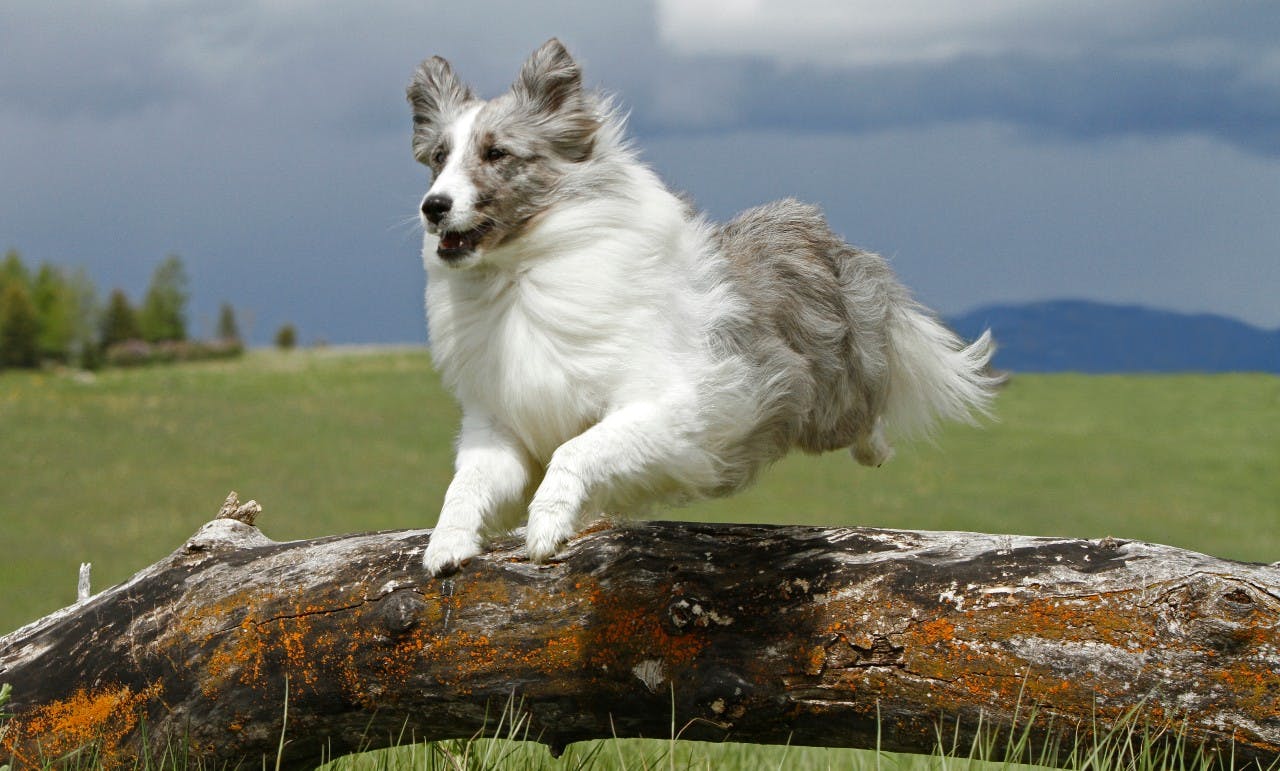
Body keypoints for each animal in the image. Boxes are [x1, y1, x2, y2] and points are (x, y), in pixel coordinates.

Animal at [404, 39, 993, 573]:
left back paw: (876, 448)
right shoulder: (499, 428)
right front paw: (445, 548)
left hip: (834, 396)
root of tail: (815, 228)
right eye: (438, 157)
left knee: (869, 407)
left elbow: (576, 451)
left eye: (496, 153)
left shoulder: (666, 406)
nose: (433, 207)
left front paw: (546, 528)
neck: (522, 276)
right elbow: (465, 485)